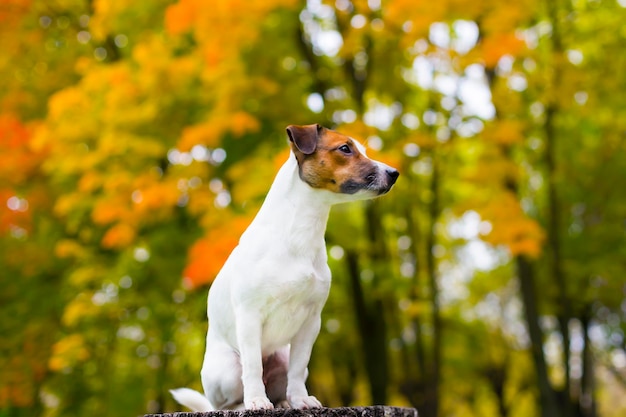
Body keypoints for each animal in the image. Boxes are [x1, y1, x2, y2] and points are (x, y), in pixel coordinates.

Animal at [168, 122, 398, 410]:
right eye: (345, 148)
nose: (394, 173)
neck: (299, 233)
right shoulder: (250, 316)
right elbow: (253, 367)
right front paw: (257, 400)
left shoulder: (311, 322)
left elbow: (298, 369)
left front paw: (300, 399)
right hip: (227, 370)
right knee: (227, 400)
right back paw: (245, 403)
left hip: (282, 357)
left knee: (284, 382)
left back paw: (284, 402)